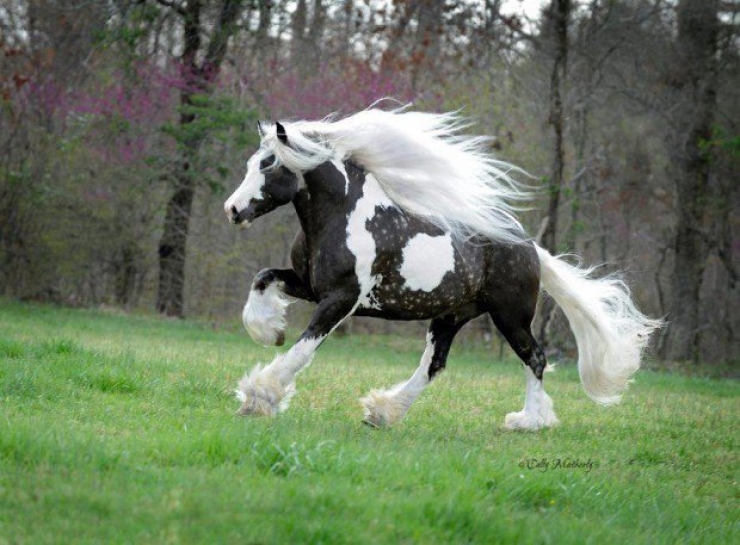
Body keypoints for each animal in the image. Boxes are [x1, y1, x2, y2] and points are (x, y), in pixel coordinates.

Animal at [223, 107, 661, 429]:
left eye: (268, 164)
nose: (232, 209)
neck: (342, 215)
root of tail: (528, 246)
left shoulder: (341, 298)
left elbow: (303, 347)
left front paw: (260, 396)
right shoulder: (310, 286)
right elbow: (262, 280)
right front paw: (268, 331)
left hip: (510, 316)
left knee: (535, 358)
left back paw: (527, 422)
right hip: (451, 316)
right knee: (434, 365)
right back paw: (383, 411)